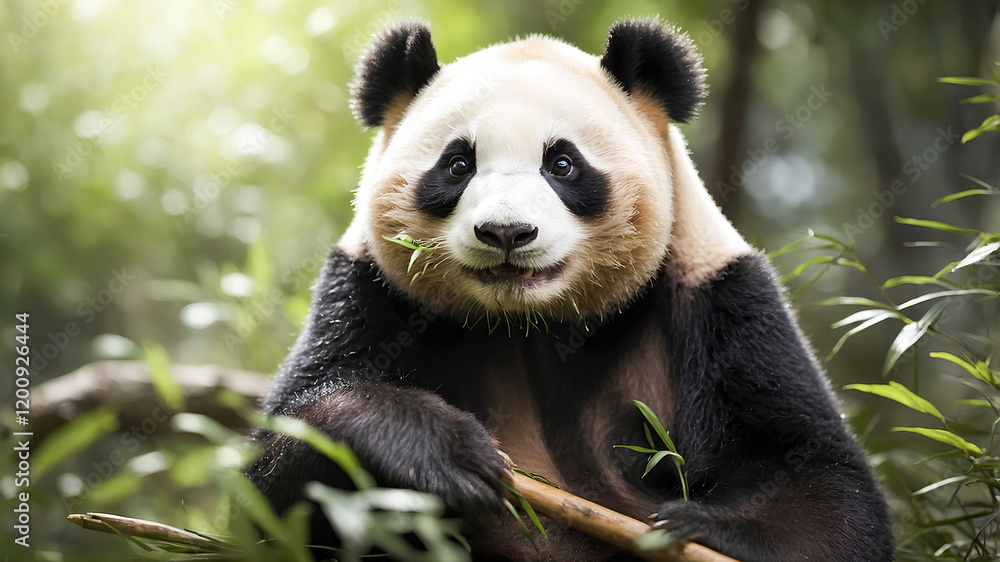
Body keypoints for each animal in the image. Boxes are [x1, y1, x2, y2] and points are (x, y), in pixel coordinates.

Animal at [245, 17, 894, 562]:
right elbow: (276, 475)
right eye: (458, 165)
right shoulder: (369, 294)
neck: (532, 323)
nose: (506, 232)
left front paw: (696, 527)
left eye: (562, 164)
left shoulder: (721, 301)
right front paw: (442, 451)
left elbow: (821, 486)